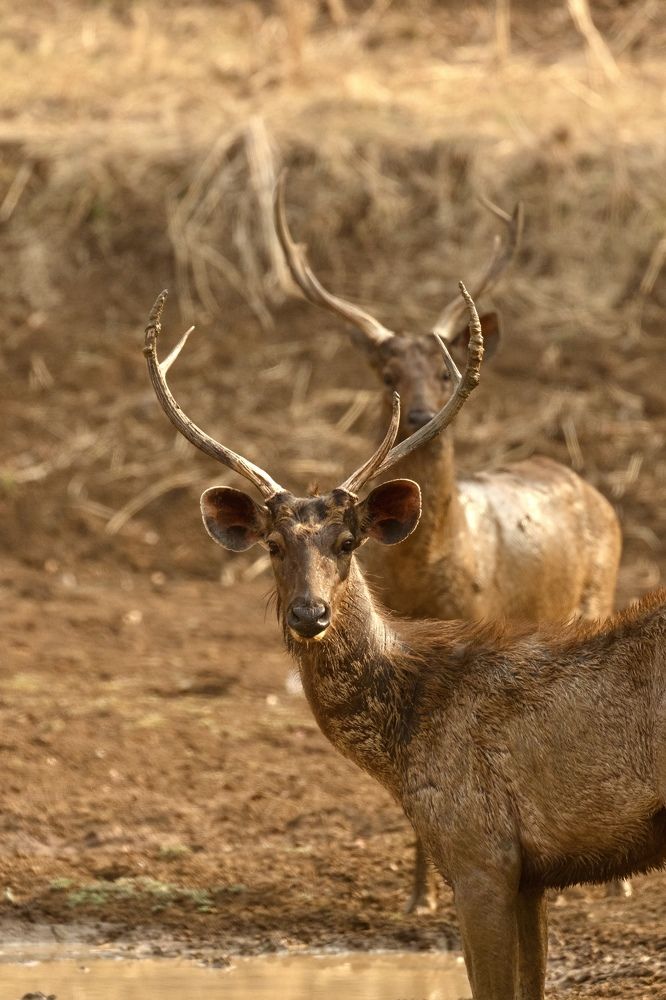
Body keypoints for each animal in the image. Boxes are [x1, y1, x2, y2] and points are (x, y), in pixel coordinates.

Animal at [143, 286, 666, 1000]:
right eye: (273, 545)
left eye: (347, 542)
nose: (310, 612)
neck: (404, 739)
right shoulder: (530, 876)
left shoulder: (479, 850)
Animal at [274, 178, 626, 909]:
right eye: (386, 374)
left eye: (444, 373)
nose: (418, 415)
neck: (431, 573)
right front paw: (419, 895)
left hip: (597, 596)